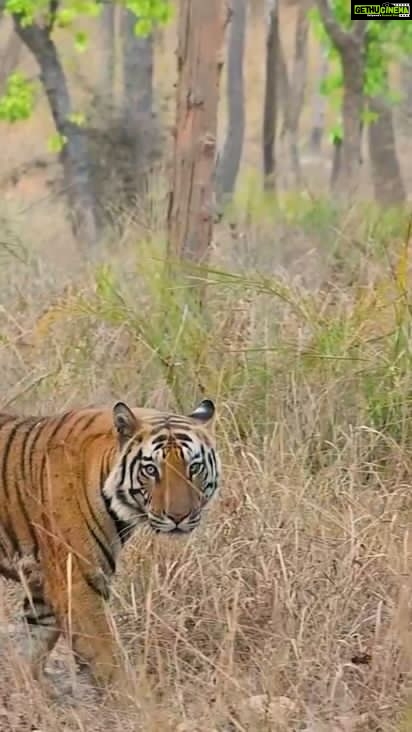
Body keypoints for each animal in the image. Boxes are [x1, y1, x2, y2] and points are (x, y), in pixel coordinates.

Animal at [0, 398, 220, 691]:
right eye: (151, 469)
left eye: (193, 468)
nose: (178, 517)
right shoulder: (77, 583)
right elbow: (107, 656)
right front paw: (135, 697)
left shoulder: (42, 583)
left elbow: (33, 645)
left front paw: (29, 693)